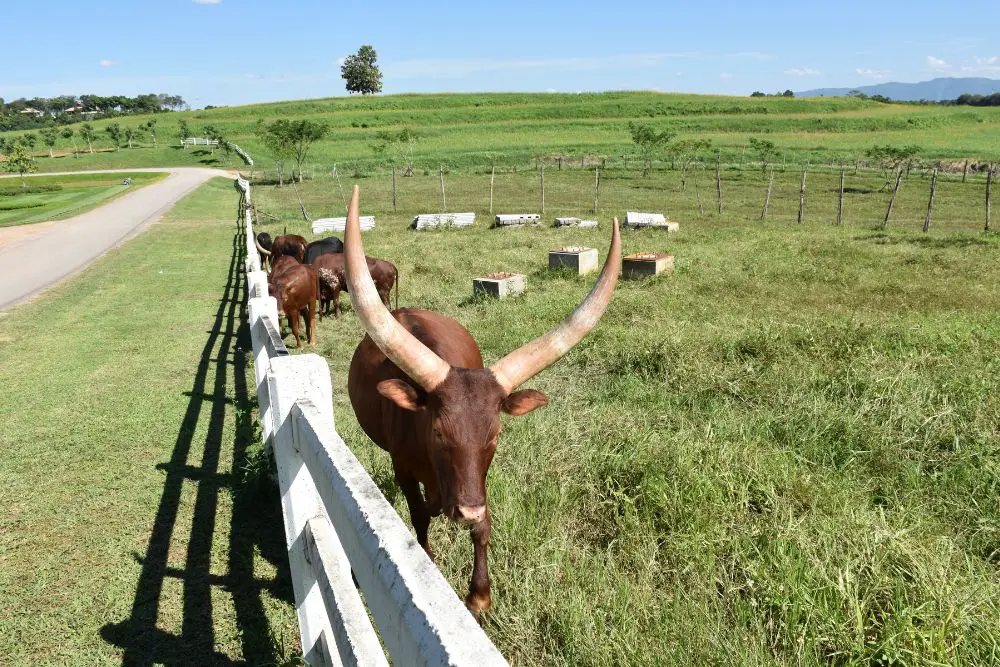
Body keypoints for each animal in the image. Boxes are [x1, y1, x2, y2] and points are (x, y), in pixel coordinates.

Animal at [342, 184, 616, 620]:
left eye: (495, 435)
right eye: (438, 431)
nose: (465, 510)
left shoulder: (480, 481)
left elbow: (483, 526)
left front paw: (480, 594)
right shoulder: (403, 468)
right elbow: (419, 516)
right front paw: (430, 561)